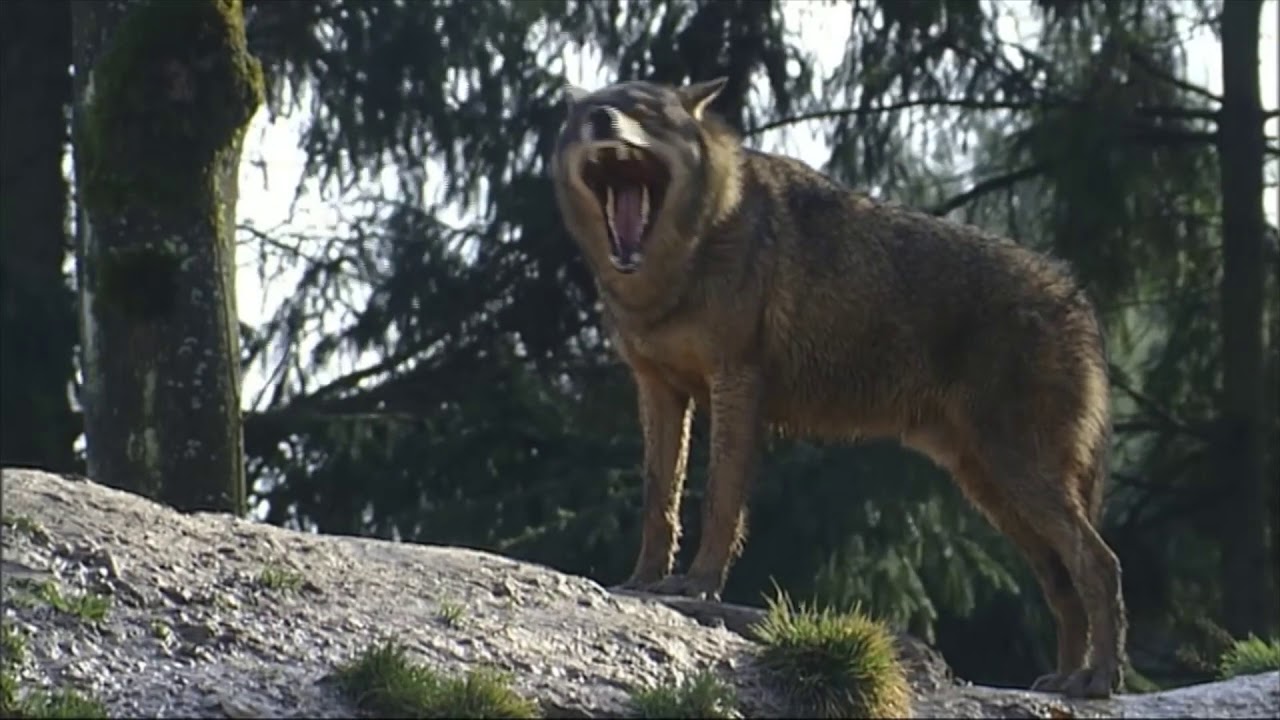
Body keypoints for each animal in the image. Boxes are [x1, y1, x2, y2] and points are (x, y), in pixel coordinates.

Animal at [548, 77, 1128, 698]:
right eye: (592, 112)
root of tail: (1080, 301)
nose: (603, 122)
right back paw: (1063, 679)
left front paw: (696, 586)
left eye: (644, 112)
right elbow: (661, 502)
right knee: (1064, 583)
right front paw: (641, 581)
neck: (687, 258)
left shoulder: (737, 383)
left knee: (1100, 563)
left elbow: (721, 501)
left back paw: (1098, 680)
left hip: (1017, 476)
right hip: (994, 489)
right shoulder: (658, 389)